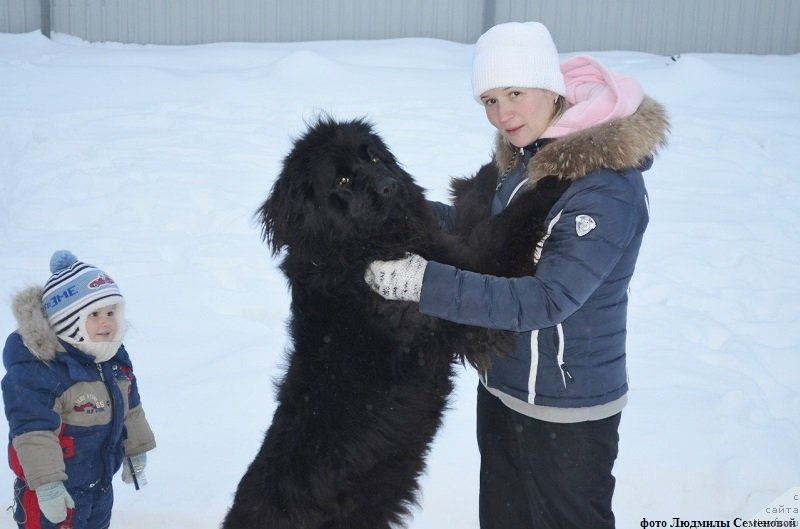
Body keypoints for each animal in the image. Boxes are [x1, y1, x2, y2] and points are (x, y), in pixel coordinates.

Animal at [222, 116, 564, 528]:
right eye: (342, 180)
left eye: (373, 156)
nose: (391, 185)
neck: (353, 251)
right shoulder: (465, 285)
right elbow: (504, 226)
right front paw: (559, 173)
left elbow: (474, 211)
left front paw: (487, 173)